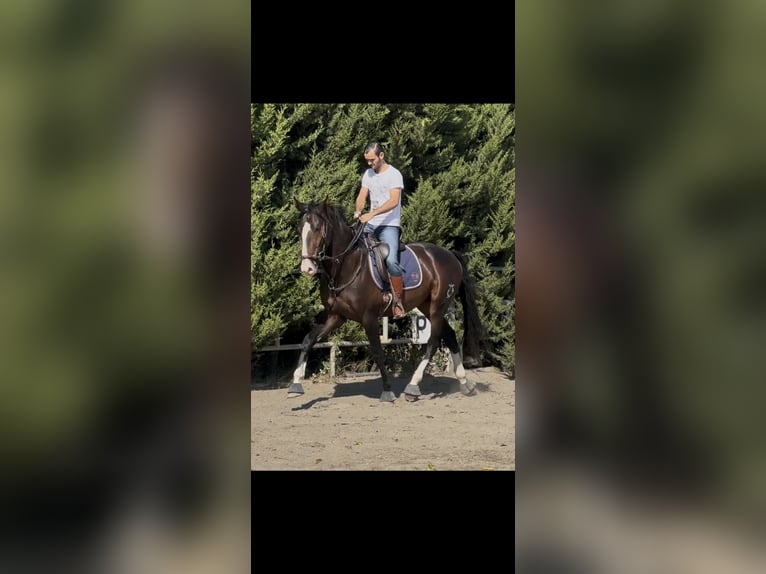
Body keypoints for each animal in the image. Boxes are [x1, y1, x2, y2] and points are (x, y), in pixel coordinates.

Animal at [289, 199, 484, 402]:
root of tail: (450, 255)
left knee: (433, 342)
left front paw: (388, 391)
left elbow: (377, 351)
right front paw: (296, 382)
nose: (307, 268)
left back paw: (413, 386)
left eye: (318, 228)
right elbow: (309, 339)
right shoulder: (336, 316)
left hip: (439, 306)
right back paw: (464, 382)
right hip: (427, 306)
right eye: (300, 228)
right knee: (450, 335)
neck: (347, 266)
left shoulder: (369, 317)